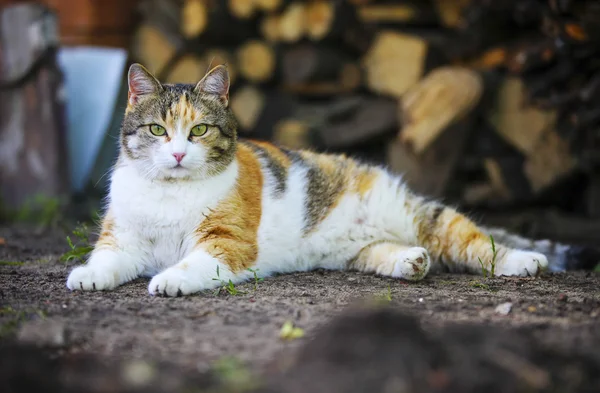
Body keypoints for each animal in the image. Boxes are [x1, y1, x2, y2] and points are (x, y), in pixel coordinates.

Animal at [64, 64, 584, 296]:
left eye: (199, 131)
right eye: (157, 130)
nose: (175, 153)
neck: (170, 195)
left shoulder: (228, 242)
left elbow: (193, 262)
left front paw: (169, 279)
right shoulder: (124, 237)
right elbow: (108, 257)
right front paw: (88, 275)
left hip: (425, 216)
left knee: (476, 241)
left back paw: (525, 261)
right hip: (359, 250)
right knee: (395, 252)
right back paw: (410, 262)